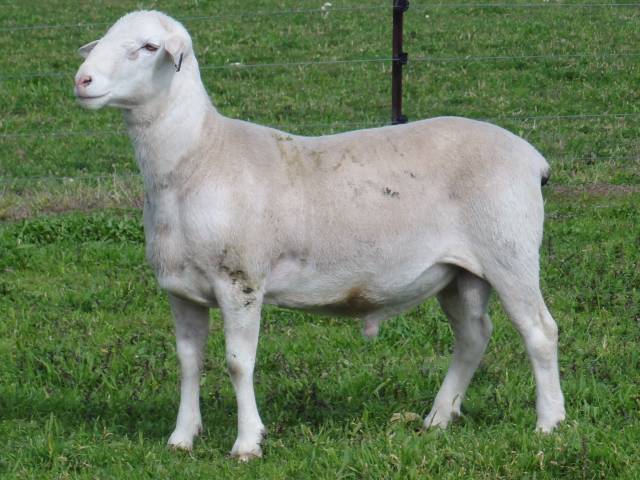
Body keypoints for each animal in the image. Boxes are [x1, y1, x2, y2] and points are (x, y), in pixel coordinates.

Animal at [74, 10, 565, 461]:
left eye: (149, 47)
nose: (82, 80)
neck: (197, 158)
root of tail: (532, 158)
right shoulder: (181, 289)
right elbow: (188, 361)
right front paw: (181, 438)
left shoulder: (240, 281)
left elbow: (238, 364)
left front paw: (247, 443)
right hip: (459, 273)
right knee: (473, 335)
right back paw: (439, 418)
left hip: (509, 251)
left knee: (539, 332)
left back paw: (549, 423)